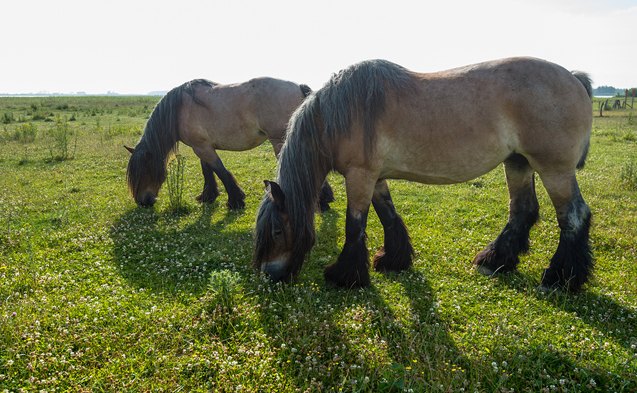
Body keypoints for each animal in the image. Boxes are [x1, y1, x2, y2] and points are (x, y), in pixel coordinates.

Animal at [124, 77, 332, 210]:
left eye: (144, 170)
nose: (143, 202)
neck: (180, 109)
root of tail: (299, 87)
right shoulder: (202, 146)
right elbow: (208, 171)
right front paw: (208, 197)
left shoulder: (202, 148)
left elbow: (221, 171)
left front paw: (235, 201)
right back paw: (325, 199)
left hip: (280, 142)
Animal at [252, 57, 592, 290]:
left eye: (278, 231)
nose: (270, 275)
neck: (339, 115)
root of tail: (573, 78)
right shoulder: (376, 178)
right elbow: (388, 216)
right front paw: (394, 260)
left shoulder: (360, 176)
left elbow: (354, 225)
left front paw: (345, 275)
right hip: (518, 163)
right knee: (523, 210)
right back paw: (495, 261)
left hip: (555, 171)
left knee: (574, 216)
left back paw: (559, 278)